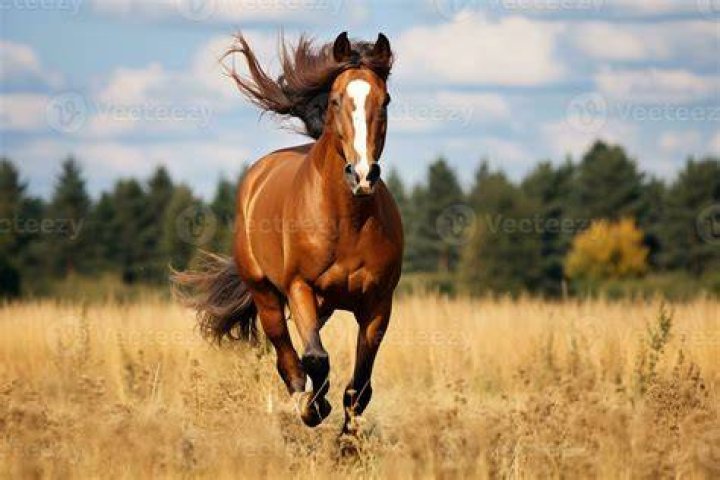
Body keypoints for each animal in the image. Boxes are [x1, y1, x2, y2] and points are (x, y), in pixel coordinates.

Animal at [172, 32, 403, 433]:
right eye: (335, 99)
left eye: (385, 100)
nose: (361, 175)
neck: (348, 221)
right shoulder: (300, 287)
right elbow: (315, 358)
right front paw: (315, 409)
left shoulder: (378, 304)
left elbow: (360, 384)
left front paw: (347, 440)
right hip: (267, 295)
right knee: (286, 355)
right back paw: (304, 403)